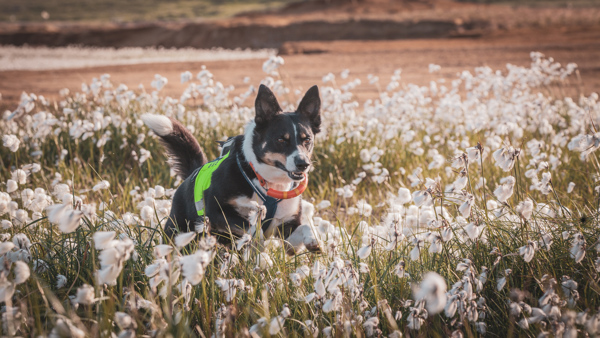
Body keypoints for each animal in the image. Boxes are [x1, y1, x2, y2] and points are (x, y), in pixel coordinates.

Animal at [142, 84, 322, 254]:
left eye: (307, 139)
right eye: (281, 140)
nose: (303, 163)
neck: (266, 180)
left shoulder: (288, 229)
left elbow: (303, 230)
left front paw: (313, 241)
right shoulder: (216, 212)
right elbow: (252, 228)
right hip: (177, 230)